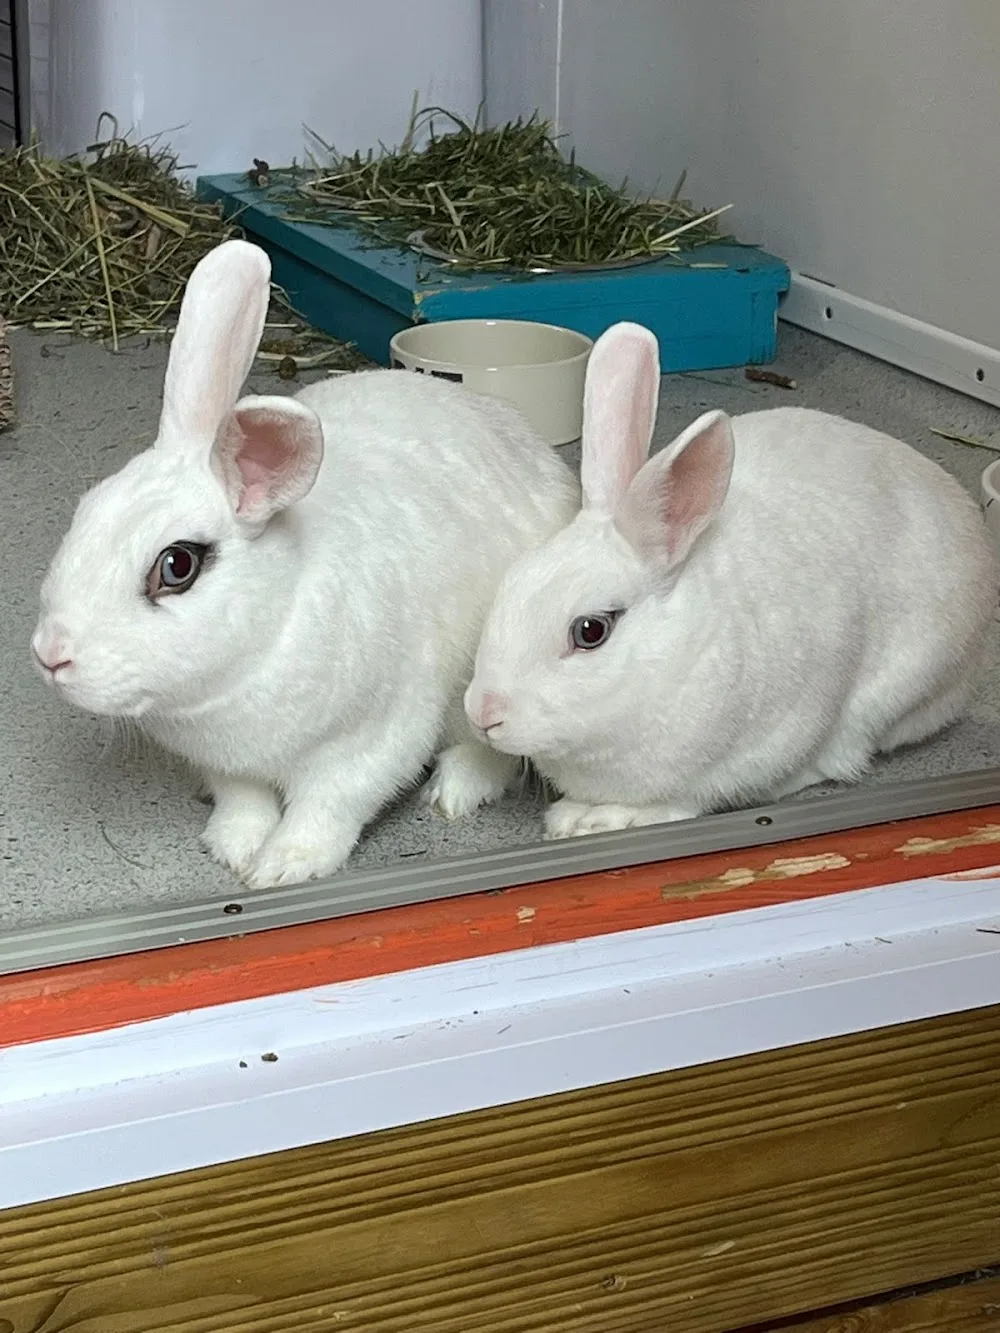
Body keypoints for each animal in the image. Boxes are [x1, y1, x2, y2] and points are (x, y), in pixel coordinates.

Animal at [32, 239, 579, 887]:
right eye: (85, 512)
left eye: (177, 566)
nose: (50, 656)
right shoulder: (230, 765)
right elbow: (243, 801)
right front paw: (234, 848)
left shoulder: (372, 740)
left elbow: (329, 805)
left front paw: (283, 868)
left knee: (491, 749)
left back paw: (454, 793)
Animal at [464, 321, 998, 840]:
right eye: (510, 585)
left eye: (590, 631)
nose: (482, 714)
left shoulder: (767, 740)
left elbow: (690, 799)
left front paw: (590, 819)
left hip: (895, 690)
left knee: (841, 755)